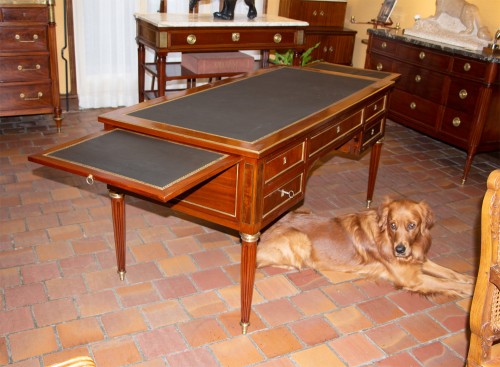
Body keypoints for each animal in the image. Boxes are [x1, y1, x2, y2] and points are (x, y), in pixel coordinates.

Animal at [256, 200, 474, 298]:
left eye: (412, 225)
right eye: (393, 225)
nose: (400, 250)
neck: (387, 238)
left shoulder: (417, 260)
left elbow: (450, 273)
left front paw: (470, 279)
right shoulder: (412, 278)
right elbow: (444, 282)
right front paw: (469, 290)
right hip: (300, 238)